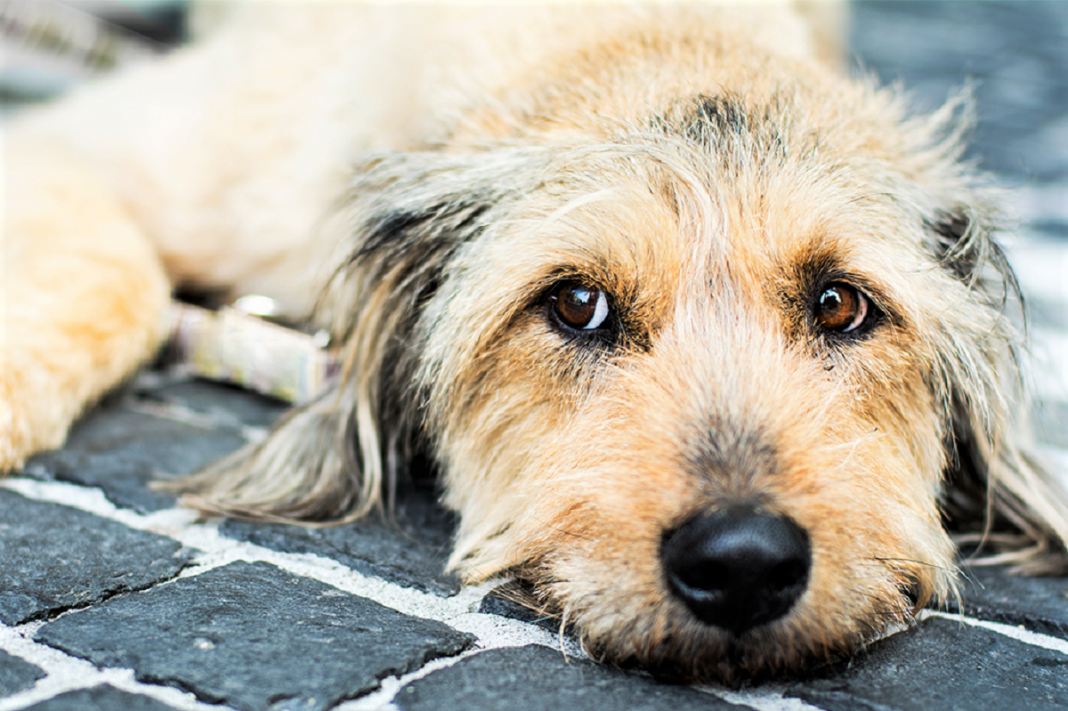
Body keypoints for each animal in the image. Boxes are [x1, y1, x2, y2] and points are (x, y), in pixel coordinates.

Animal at [6, 1, 1068, 683]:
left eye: (842, 305)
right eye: (578, 303)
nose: (743, 562)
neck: (632, 30)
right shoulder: (84, 143)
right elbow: (127, 285)